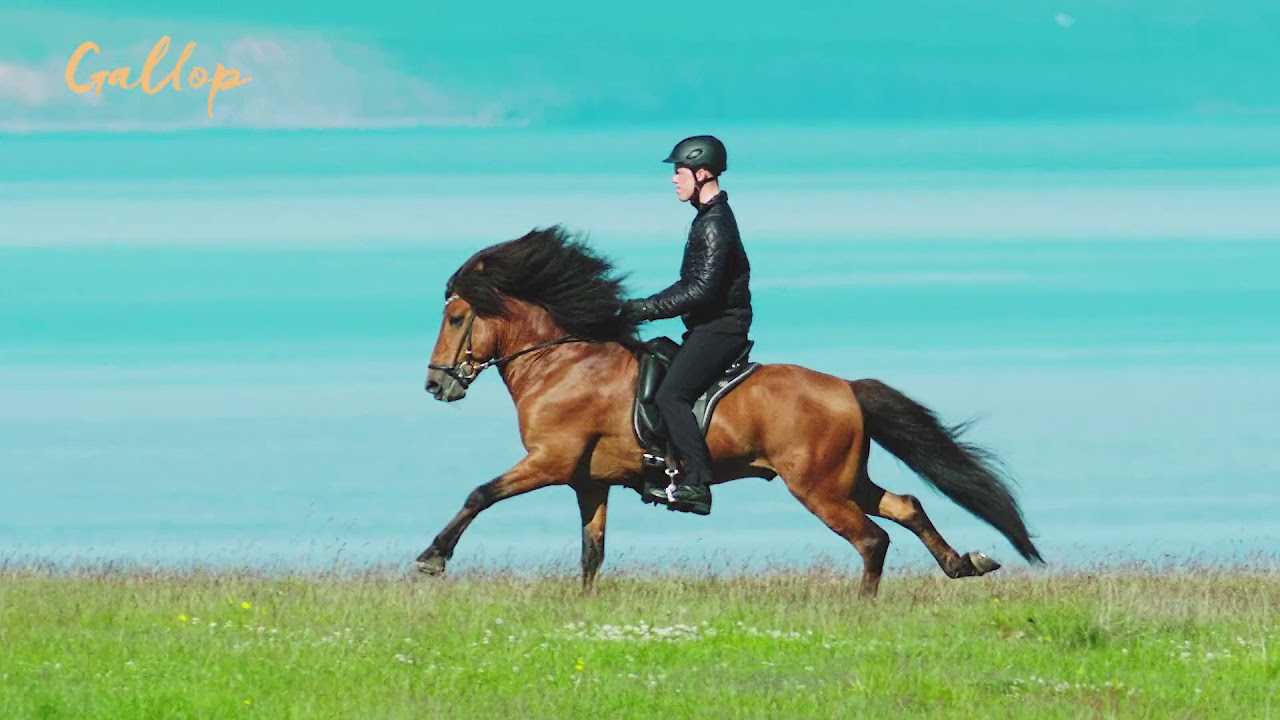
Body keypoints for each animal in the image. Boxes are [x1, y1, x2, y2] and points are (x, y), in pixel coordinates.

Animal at [418, 225, 1043, 596]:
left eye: (455, 318)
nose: (434, 385)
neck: (562, 363)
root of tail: (845, 388)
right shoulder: (587, 480)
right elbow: (592, 552)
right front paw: (584, 608)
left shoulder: (549, 461)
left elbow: (479, 494)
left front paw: (432, 559)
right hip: (844, 478)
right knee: (907, 506)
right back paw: (964, 564)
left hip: (817, 487)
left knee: (872, 539)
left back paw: (866, 607)